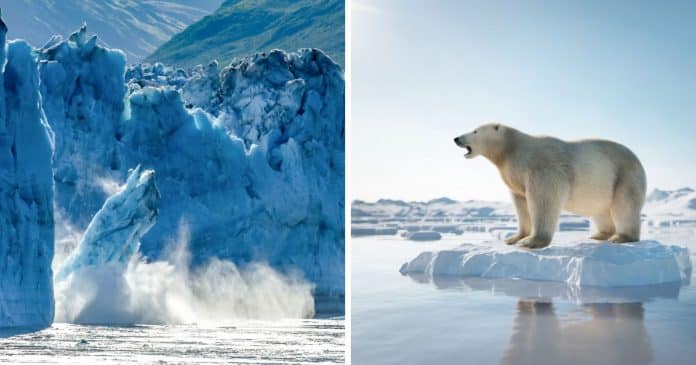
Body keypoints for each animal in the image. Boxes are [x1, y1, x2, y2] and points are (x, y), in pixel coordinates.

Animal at [454, 124, 644, 247]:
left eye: (475, 130)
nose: (456, 138)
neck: (512, 149)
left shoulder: (542, 167)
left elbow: (544, 199)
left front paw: (531, 241)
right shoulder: (515, 176)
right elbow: (521, 203)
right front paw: (514, 238)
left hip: (624, 176)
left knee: (624, 206)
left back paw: (621, 237)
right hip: (602, 187)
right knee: (600, 209)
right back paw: (599, 235)